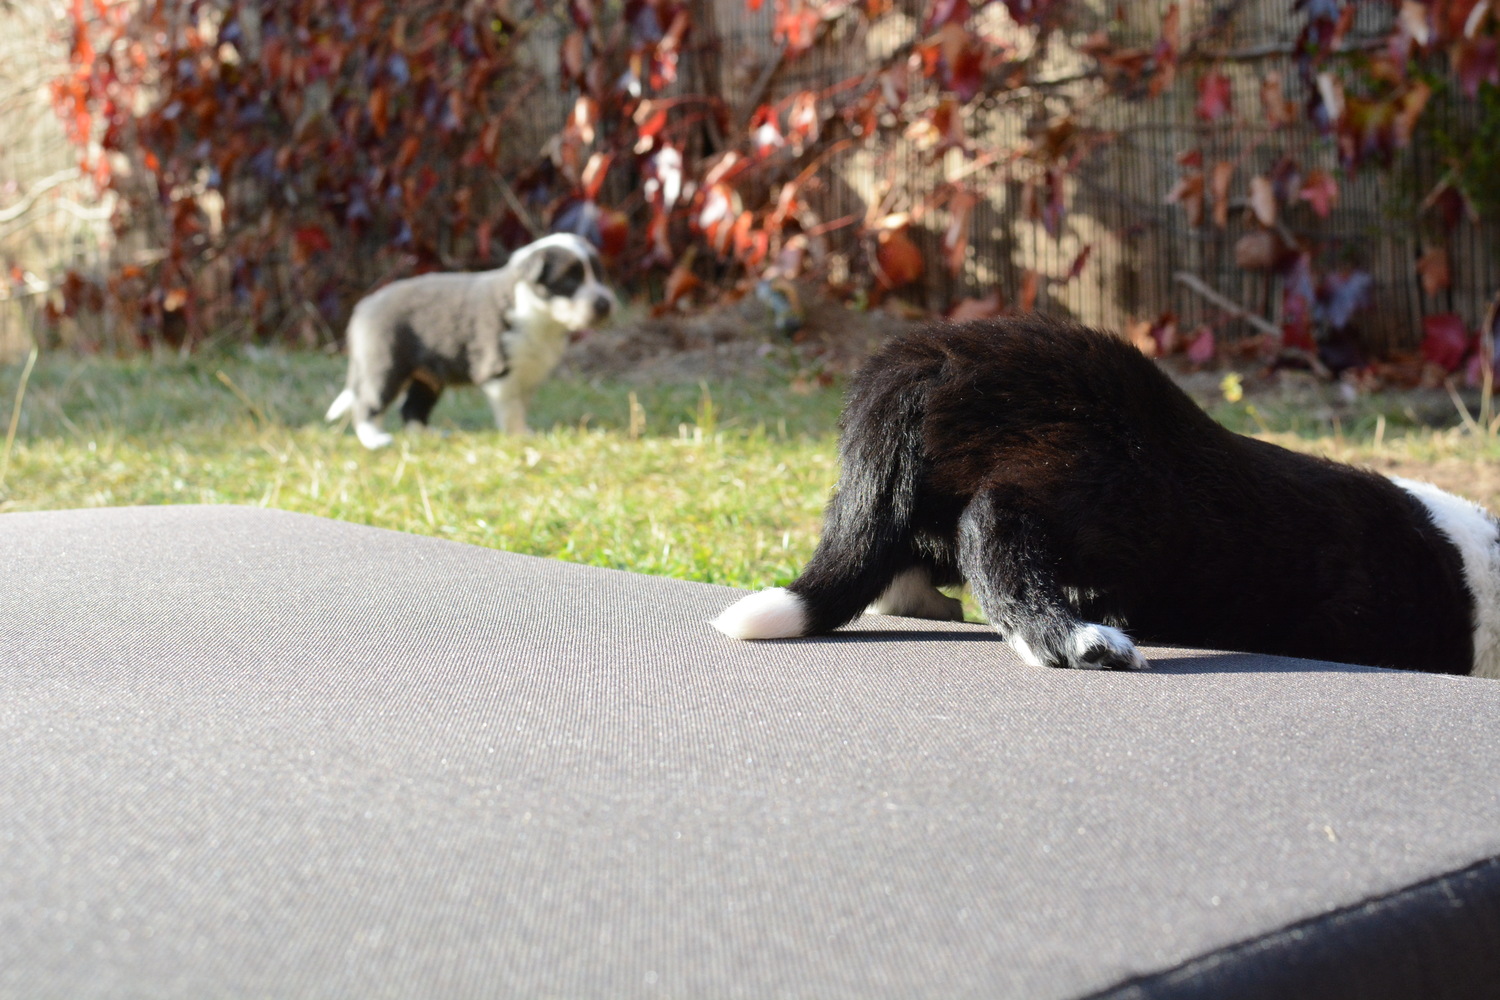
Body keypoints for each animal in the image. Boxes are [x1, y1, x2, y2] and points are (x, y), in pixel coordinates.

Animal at [325, 233, 615, 448]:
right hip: (385, 363)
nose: (604, 304)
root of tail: (365, 305)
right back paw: (375, 439)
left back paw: (428, 435)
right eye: (570, 279)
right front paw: (518, 435)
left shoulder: (529, 371)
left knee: (412, 408)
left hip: (428, 377)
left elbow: (522, 403)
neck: (539, 316)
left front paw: (525, 431)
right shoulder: (500, 370)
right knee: (368, 402)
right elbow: (512, 408)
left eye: (600, 275)